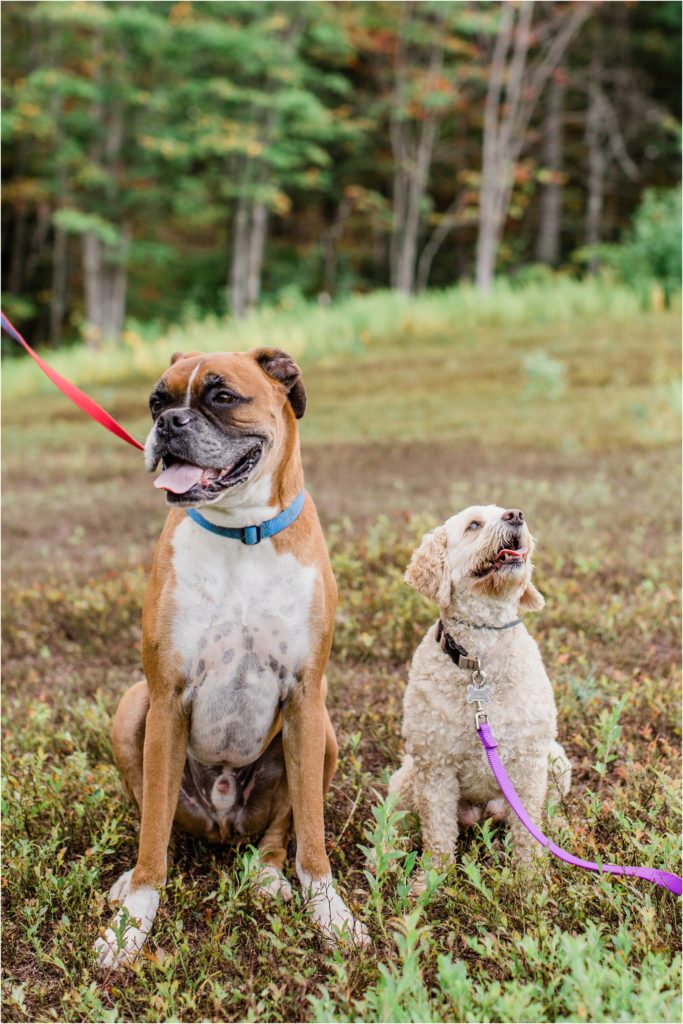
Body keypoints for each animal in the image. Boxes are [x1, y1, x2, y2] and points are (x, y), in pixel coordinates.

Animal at [94, 348, 368, 962]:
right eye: (157, 401)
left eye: (222, 397)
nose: (170, 424)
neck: (242, 533)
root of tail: (222, 823)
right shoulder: (167, 697)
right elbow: (152, 836)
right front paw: (131, 926)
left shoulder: (305, 697)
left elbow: (310, 836)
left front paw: (331, 915)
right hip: (134, 708)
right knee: (158, 825)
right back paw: (129, 882)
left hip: (324, 735)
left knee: (278, 834)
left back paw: (267, 876)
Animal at [389, 507, 573, 876]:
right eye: (474, 525)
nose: (516, 515)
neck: (481, 659)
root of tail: (483, 812)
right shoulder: (434, 766)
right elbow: (437, 834)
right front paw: (430, 881)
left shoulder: (530, 762)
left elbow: (528, 831)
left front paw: (531, 879)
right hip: (406, 778)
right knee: (396, 820)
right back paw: (386, 856)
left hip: (556, 760)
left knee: (548, 810)